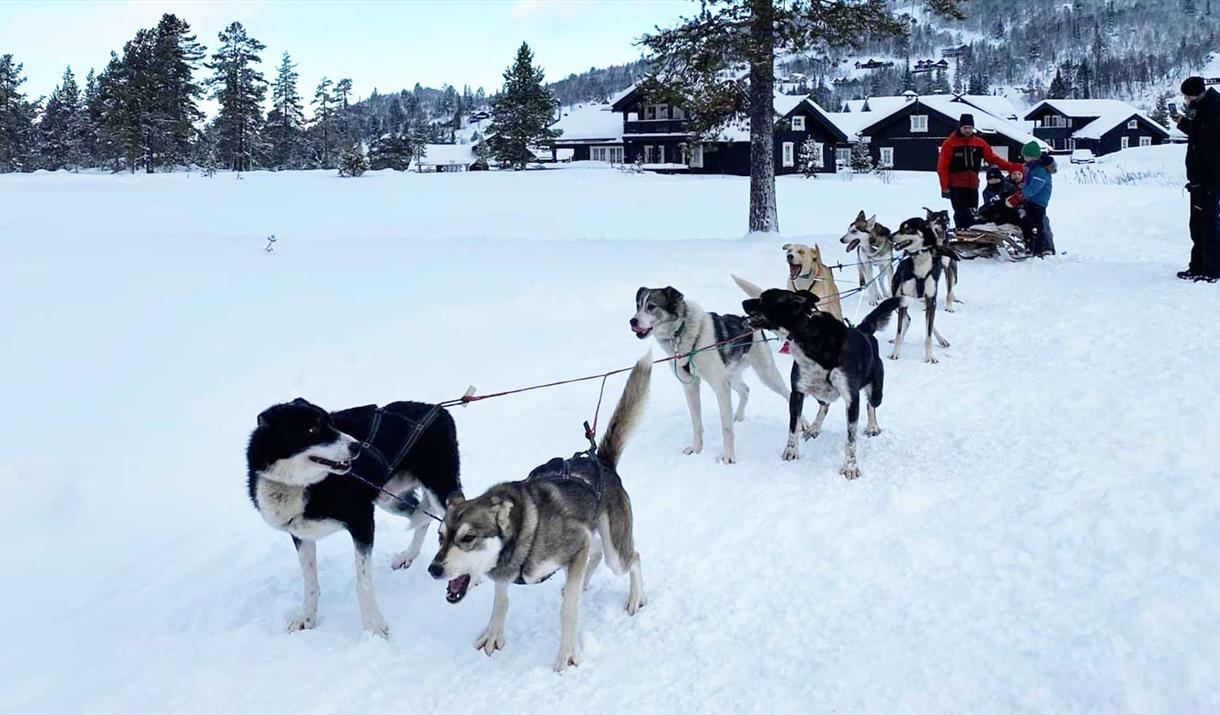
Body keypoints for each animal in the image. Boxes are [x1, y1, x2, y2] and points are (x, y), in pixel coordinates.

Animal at [246, 395, 461, 634]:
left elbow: (363, 582)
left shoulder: (363, 522)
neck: (305, 485)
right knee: (422, 515)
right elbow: (309, 581)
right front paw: (306, 617)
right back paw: (408, 555)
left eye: (331, 423)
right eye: (312, 429)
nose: (357, 446)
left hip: (439, 488)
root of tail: (438, 409)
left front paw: (373, 624)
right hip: (390, 498)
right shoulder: (301, 534)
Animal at [736, 289, 902, 478]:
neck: (805, 332)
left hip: (875, 392)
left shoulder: (852, 399)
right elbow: (793, 427)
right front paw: (791, 451)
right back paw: (814, 427)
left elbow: (850, 440)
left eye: (764, 298)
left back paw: (872, 426)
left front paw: (851, 467)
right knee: (825, 406)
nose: (743, 302)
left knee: (870, 405)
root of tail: (863, 331)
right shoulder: (797, 393)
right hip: (818, 391)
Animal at [893, 215, 956, 361]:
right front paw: (895, 353)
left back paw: (941, 339)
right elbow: (899, 331)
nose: (890, 236)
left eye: (907, 228)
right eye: (900, 227)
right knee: (906, 319)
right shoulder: (903, 299)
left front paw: (930, 356)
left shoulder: (931, 300)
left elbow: (928, 333)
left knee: (928, 323)